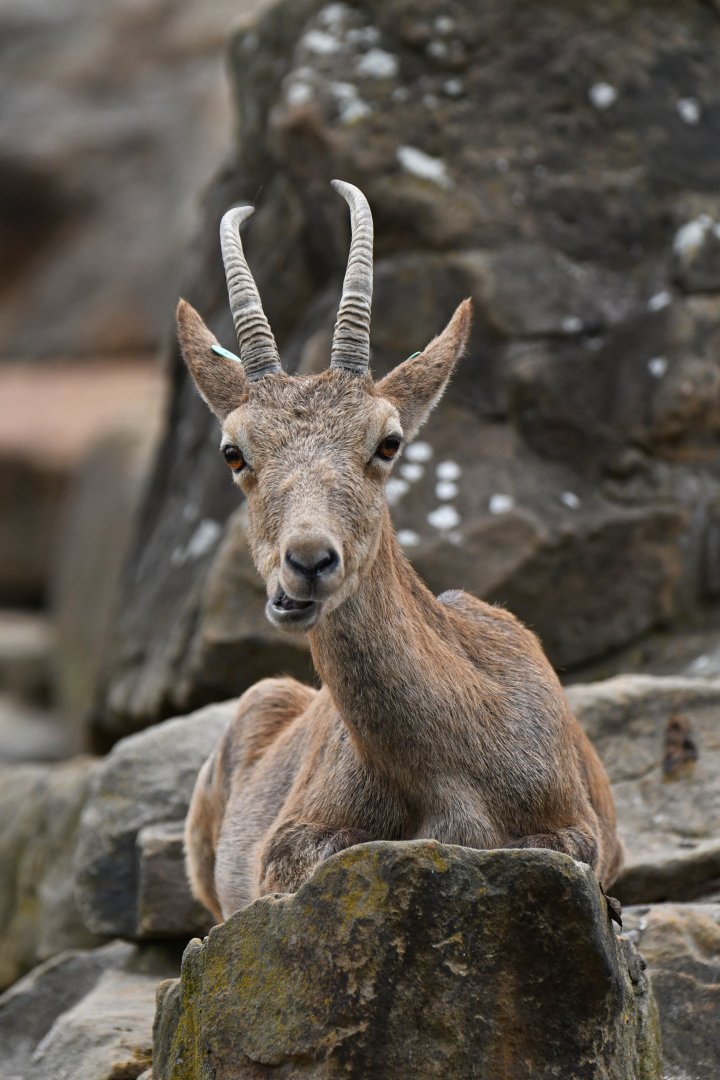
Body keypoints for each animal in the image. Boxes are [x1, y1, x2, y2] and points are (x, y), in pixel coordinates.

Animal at [179, 181, 623, 920]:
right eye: (233, 451)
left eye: (388, 442)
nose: (308, 564)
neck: (455, 765)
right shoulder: (288, 841)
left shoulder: (577, 828)